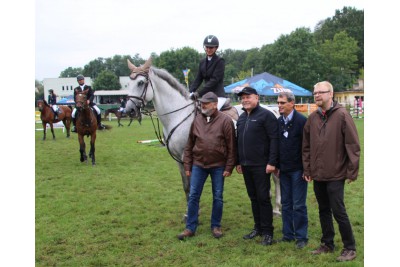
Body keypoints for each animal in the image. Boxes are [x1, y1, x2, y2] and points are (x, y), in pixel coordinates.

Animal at [125, 58, 282, 220]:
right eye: (127, 84)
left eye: (141, 83)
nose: (129, 110)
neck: (179, 116)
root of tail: (272, 109)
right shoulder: (178, 160)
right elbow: (186, 186)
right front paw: (189, 212)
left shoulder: (188, 157)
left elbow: (192, 185)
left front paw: (193, 212)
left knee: (276, 178)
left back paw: (277, 209)